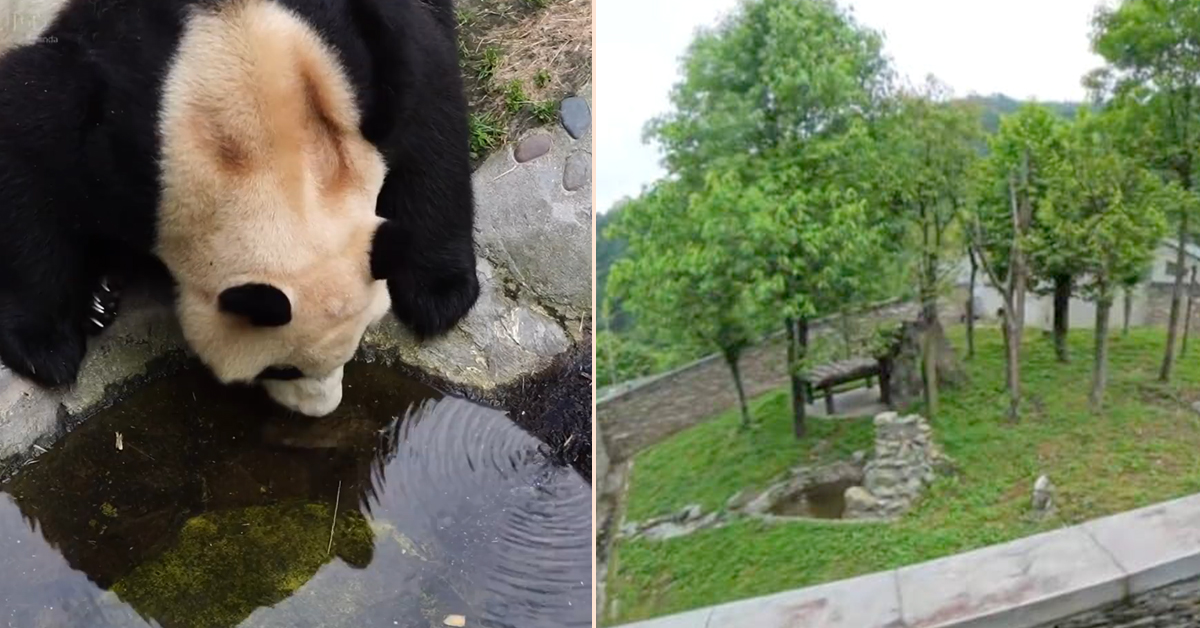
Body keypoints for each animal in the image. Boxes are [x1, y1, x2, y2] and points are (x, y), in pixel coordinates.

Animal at [0, 0, 477, 417]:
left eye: (357, 344)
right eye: (282, 370)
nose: (320, 411)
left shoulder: (348, 52)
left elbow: (428, 100)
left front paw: (439, 294)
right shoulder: (114, 107)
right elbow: (29, 137)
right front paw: (47, 348)